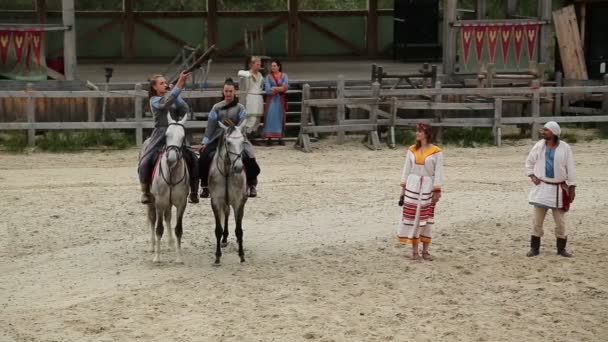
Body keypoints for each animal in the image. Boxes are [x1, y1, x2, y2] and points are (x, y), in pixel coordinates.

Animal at [147, 113, 188, 264]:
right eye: (166, 135)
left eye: (183, 136)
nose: (171, 159)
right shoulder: (160, 202)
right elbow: (159, 229)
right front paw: (157, 258)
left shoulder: (181, 204)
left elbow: (178, 229)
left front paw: (179, 257)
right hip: (151, 201)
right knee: (152, 219)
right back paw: (152, 246)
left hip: (169, 204)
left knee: (168, 217)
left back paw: (171, 244)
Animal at [208, 120, 248, 264]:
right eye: (228, 142)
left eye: (242, 141)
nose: (238, 167)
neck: (226, 172)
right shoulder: (216, 201)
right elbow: (218, 230)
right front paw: (217, 256)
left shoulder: (238, 202)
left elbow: (239, 229)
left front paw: (241, 255)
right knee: (226, 214)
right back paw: (224, 239)